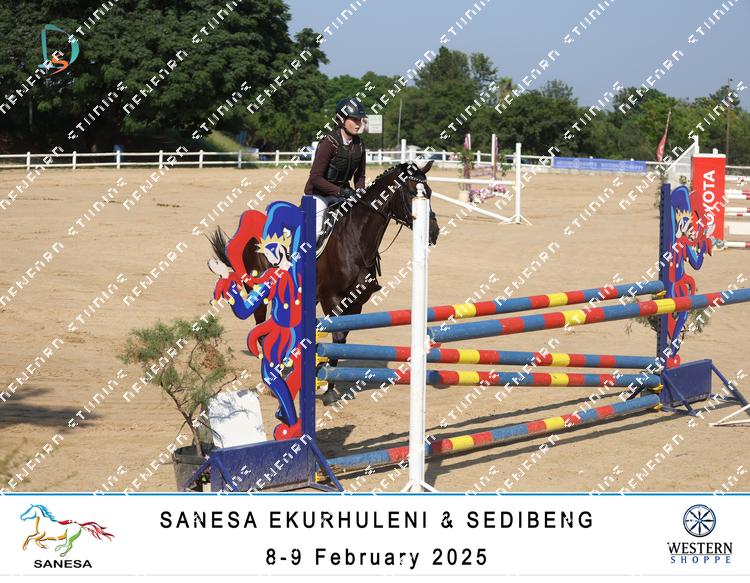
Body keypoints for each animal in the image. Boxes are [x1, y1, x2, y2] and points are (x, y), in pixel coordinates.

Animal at [210, 160, 440, 403]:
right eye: (412, 193)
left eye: (430, 193)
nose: (433, 232)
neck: (355, 238)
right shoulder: (332, 297)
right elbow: (336, 337)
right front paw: (328, 390)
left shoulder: (356, 302)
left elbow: (342, 340)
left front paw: (325, 380)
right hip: (260, 290)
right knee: (261, 328)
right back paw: (272, 381)